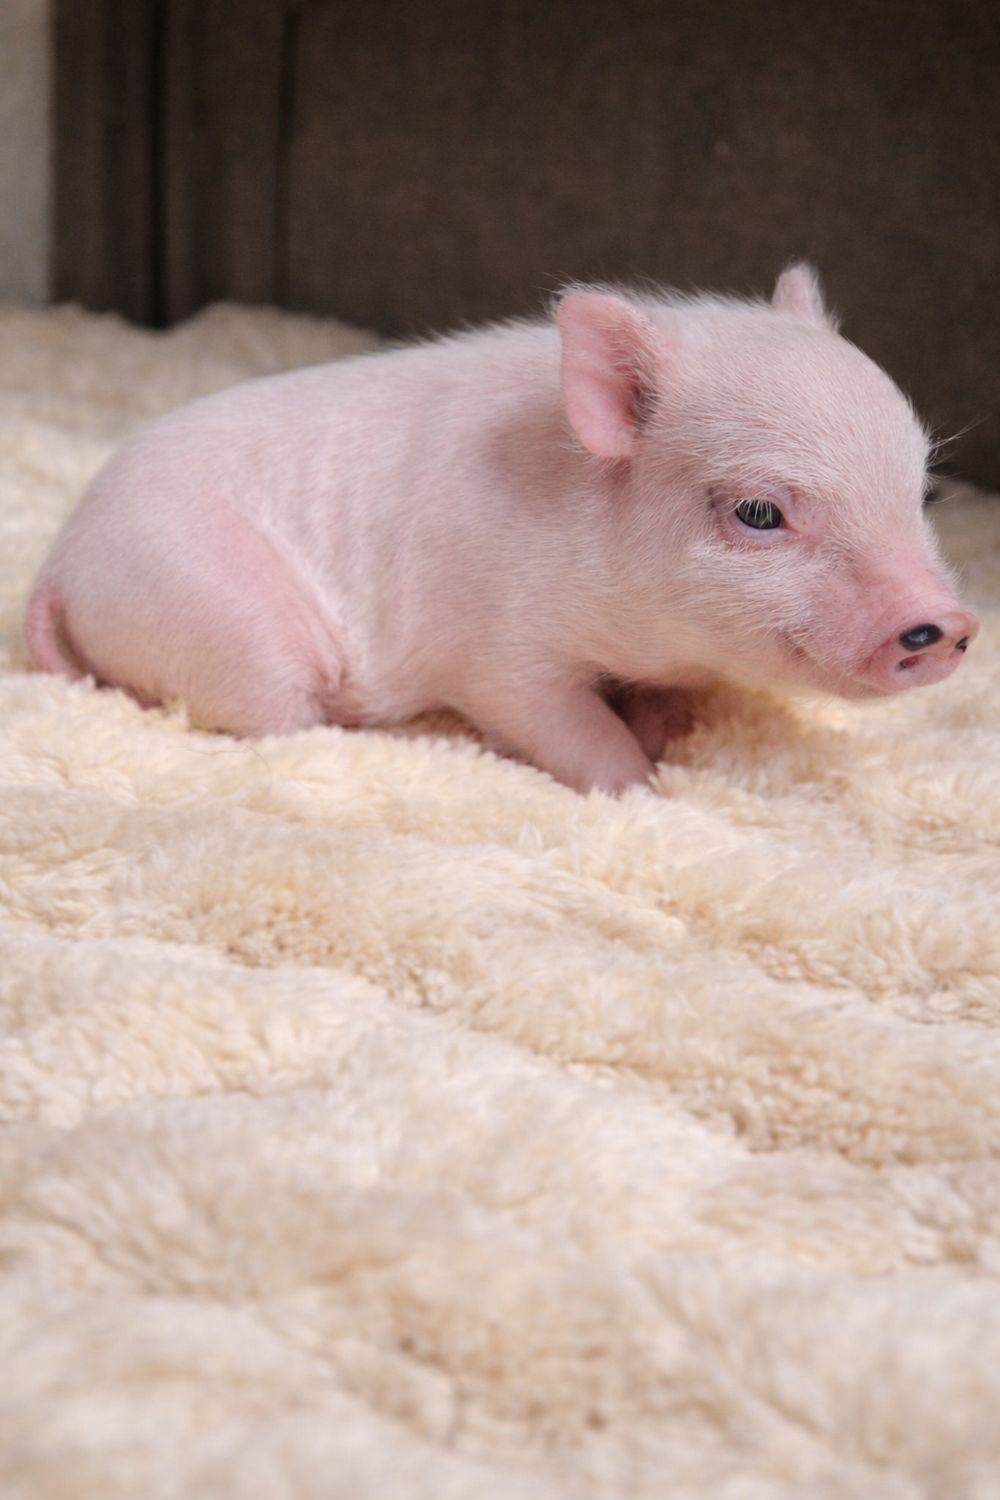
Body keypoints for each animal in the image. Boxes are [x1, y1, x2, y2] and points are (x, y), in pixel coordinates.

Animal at [25, 264, 978, 794]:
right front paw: (646, 787)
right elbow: (568, 727)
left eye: (921, 490)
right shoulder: (494, 650)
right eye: (758, 513)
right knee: (275, 717)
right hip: (226, 618)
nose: (946, 622)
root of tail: (61, 565)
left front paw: (660, 739)